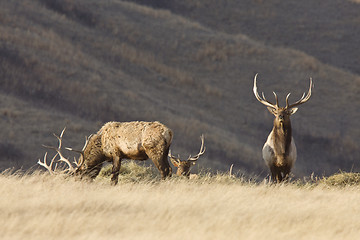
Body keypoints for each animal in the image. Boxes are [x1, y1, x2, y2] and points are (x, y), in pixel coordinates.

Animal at [38, 121, 174, 185]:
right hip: (165, 152)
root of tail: (169, 132)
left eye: (80, 176)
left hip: (154, 151)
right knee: (169, 170)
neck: (102, 149)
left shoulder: (116, 154)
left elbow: (114, 177)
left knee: (164, 170)